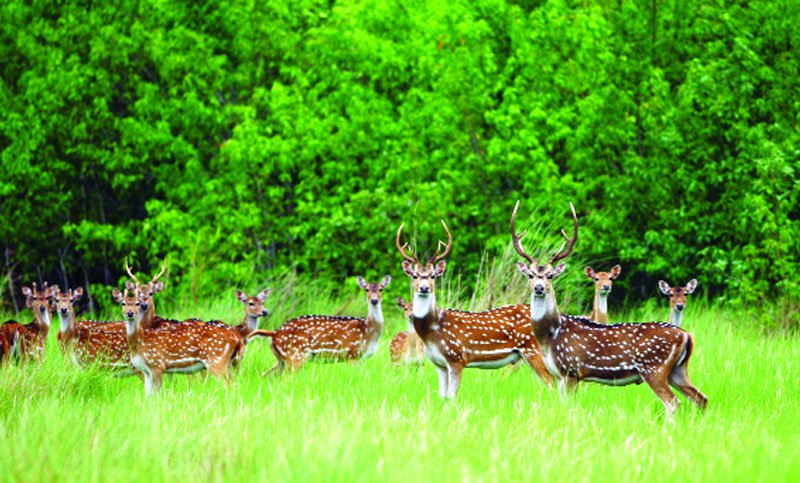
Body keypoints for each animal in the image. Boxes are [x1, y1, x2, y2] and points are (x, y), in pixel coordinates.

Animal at [113, 288, 244, 395]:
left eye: (137, 303)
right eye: (123, 303)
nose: (130, 313)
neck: (139, 344)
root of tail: (236, 338)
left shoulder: (157, 365)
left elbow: (156, 395)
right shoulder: (146, 370)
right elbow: (148, 396)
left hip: (216, 361)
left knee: (229, 386)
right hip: (228, 363)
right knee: (235, 384)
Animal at [248, 276, 392, 375]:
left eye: (381, 289)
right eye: (366, 289)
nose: (374, 300)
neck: (369, 331)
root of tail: (274, 333)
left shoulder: (361, 358)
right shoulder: (353, 354)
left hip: (281, 359)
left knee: (266, 375)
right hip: (295, 356)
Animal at [395, 220, 553, 399]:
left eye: (433, 276)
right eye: (414, 275)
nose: (424, 287)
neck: (432, 330)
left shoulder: (457, 357)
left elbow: (452, 397)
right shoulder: (439, 363)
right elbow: (442, 397)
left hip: (535, 350)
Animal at [511, 200, 707, 419]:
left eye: (550, 276)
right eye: (530, 275)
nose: (539, 288)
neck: (550, 335)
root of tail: (686, 335)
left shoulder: (571, 370)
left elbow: (569, 407)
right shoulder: (559, 375)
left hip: (654, 367)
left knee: (673, 402)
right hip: (678, 370)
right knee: (701, 398)